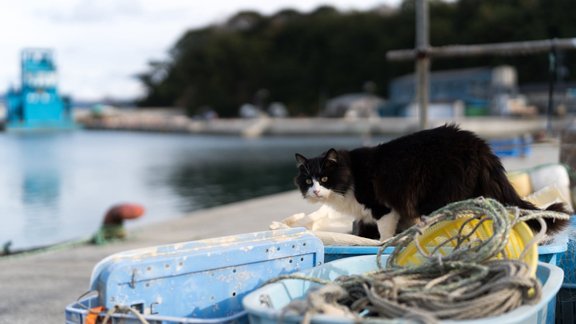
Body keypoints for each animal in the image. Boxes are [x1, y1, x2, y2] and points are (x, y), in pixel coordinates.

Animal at [294, 124, 568, 240]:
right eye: (307, 181)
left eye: (324, 179)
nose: (315, 191)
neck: (349, 175)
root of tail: (479, 146)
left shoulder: (383, 208)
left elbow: (384, 232)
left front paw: (384, 242)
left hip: (438, 195)